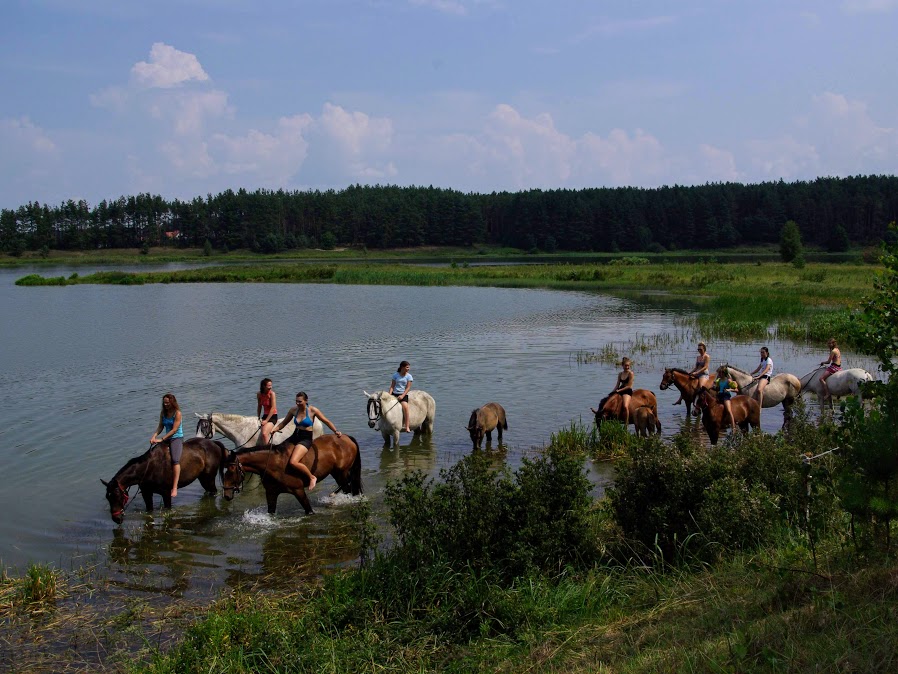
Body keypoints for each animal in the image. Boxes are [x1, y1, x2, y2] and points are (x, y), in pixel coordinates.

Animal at [217, 430, 360, 516]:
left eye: (231, 470)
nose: (226, 494)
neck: (272, 464)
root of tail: (346, 438)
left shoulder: (298, 490)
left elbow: (309, 510)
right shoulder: (271, 493)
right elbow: (271, 512)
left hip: (341, 472)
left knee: (347, 484)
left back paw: (333, 495)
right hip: (336, 472)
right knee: (347, 487)